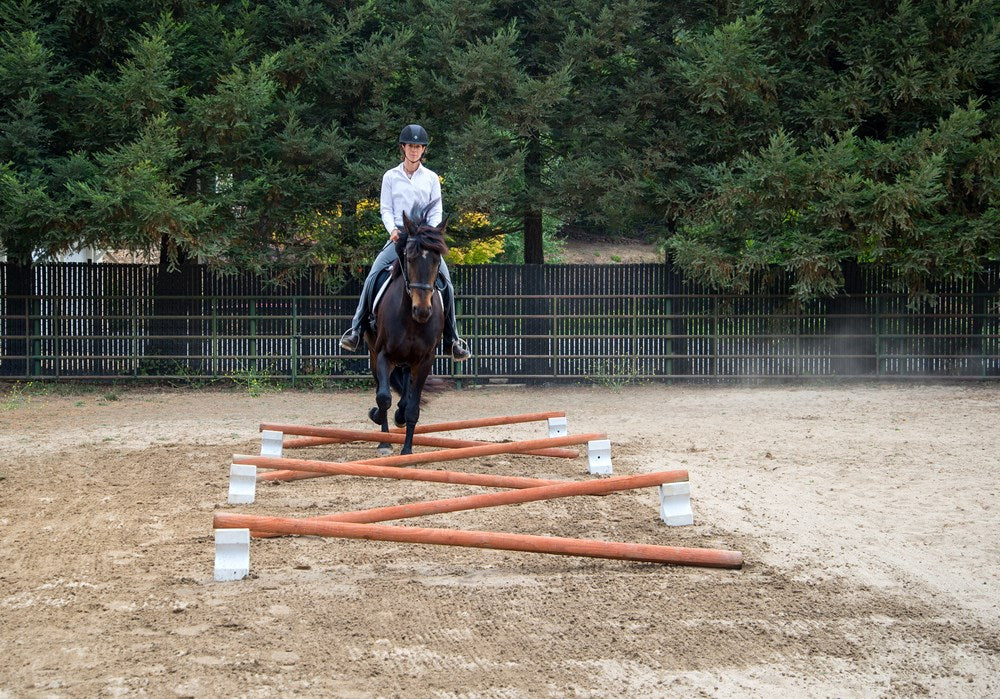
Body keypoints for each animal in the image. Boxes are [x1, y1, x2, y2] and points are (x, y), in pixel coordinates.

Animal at [364, 202, 448, 456]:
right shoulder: (383, 354)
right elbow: (383, 397)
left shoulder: (425, 361)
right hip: (374, 354)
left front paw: (407, 450)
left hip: (409, 363)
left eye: (437, 260)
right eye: (409, 259)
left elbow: (412, 406)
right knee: (383, 390)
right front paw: (383, 438)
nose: (422, 311)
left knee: (405, 395)